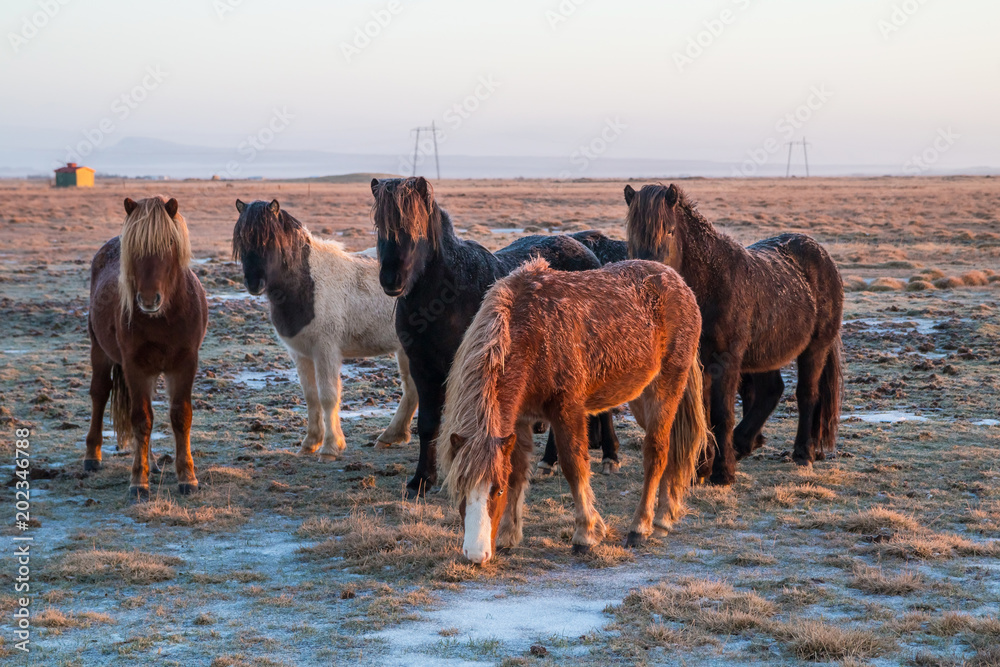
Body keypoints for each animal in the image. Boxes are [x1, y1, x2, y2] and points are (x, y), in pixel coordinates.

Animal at [84, 196, 209, 501]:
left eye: (170, 244)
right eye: (134, 248)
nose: (149, 300)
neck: (164, 318)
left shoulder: (184, 364)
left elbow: (180, 416)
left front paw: (188, 478)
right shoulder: (135, 367)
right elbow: (141, 419)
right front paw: (138, 482)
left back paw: (151, 463)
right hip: (99, 351)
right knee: (99, 394)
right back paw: (92, 457)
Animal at [232, 199, 418, 460]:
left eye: (269, 240)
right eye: (241, 239)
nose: (253, 283)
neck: (308, 285)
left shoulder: (326, 351)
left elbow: (328, 396)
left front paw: (330, 447)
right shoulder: (300, 354)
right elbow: (311, 397)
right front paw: (310, 443)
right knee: (412, 389)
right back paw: (390, 436)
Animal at [370, 176, 619, 498]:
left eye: (415, 227)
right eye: (379, 226)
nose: (391, 280)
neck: (445, 294)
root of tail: (588, 252)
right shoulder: (422, 367)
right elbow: (427, 424)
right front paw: (421, 481)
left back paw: (610, 457)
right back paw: (549, 462)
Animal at [441, 258, 708, 564]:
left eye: (496, 490)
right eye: (460, 488)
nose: (476, 554)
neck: (532, 334)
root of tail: (678, 282)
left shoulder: (567, 410)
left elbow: (574, 466)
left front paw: (586, 534)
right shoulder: (519, 419)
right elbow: (518, 470)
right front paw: (509, 535)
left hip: (665, 390)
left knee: (657, 452)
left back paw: (640, 526)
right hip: (641, 398)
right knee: (673, 447)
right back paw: (664, 516)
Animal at [624, 183, 843, 484]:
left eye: (669, 230)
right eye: (631, 235)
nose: (649, 281)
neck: (713, 283)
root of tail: (821, 254)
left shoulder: (725, 358)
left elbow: (721, 413)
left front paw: (722, 472)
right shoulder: (700, 361)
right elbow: (705, 412)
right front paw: (702, 468)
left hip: (815, 349)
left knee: (807, 394)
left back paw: (802, 453)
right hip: (765, 353)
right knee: (771, 391)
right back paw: (742, 444)